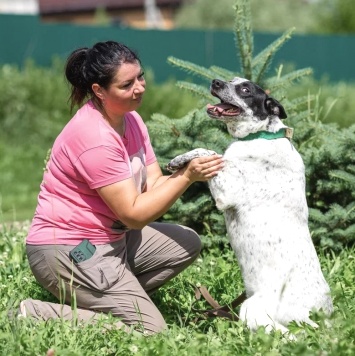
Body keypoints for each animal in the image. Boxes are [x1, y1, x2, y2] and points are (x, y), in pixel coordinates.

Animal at [167, 76, 334, 336]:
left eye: (245, 89)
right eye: (231, 80)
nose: (215, 81)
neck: (259, 135)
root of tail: (322, 319)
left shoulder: (226, 190)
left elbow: (210, 152)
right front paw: (178, 160)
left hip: (253, 311)